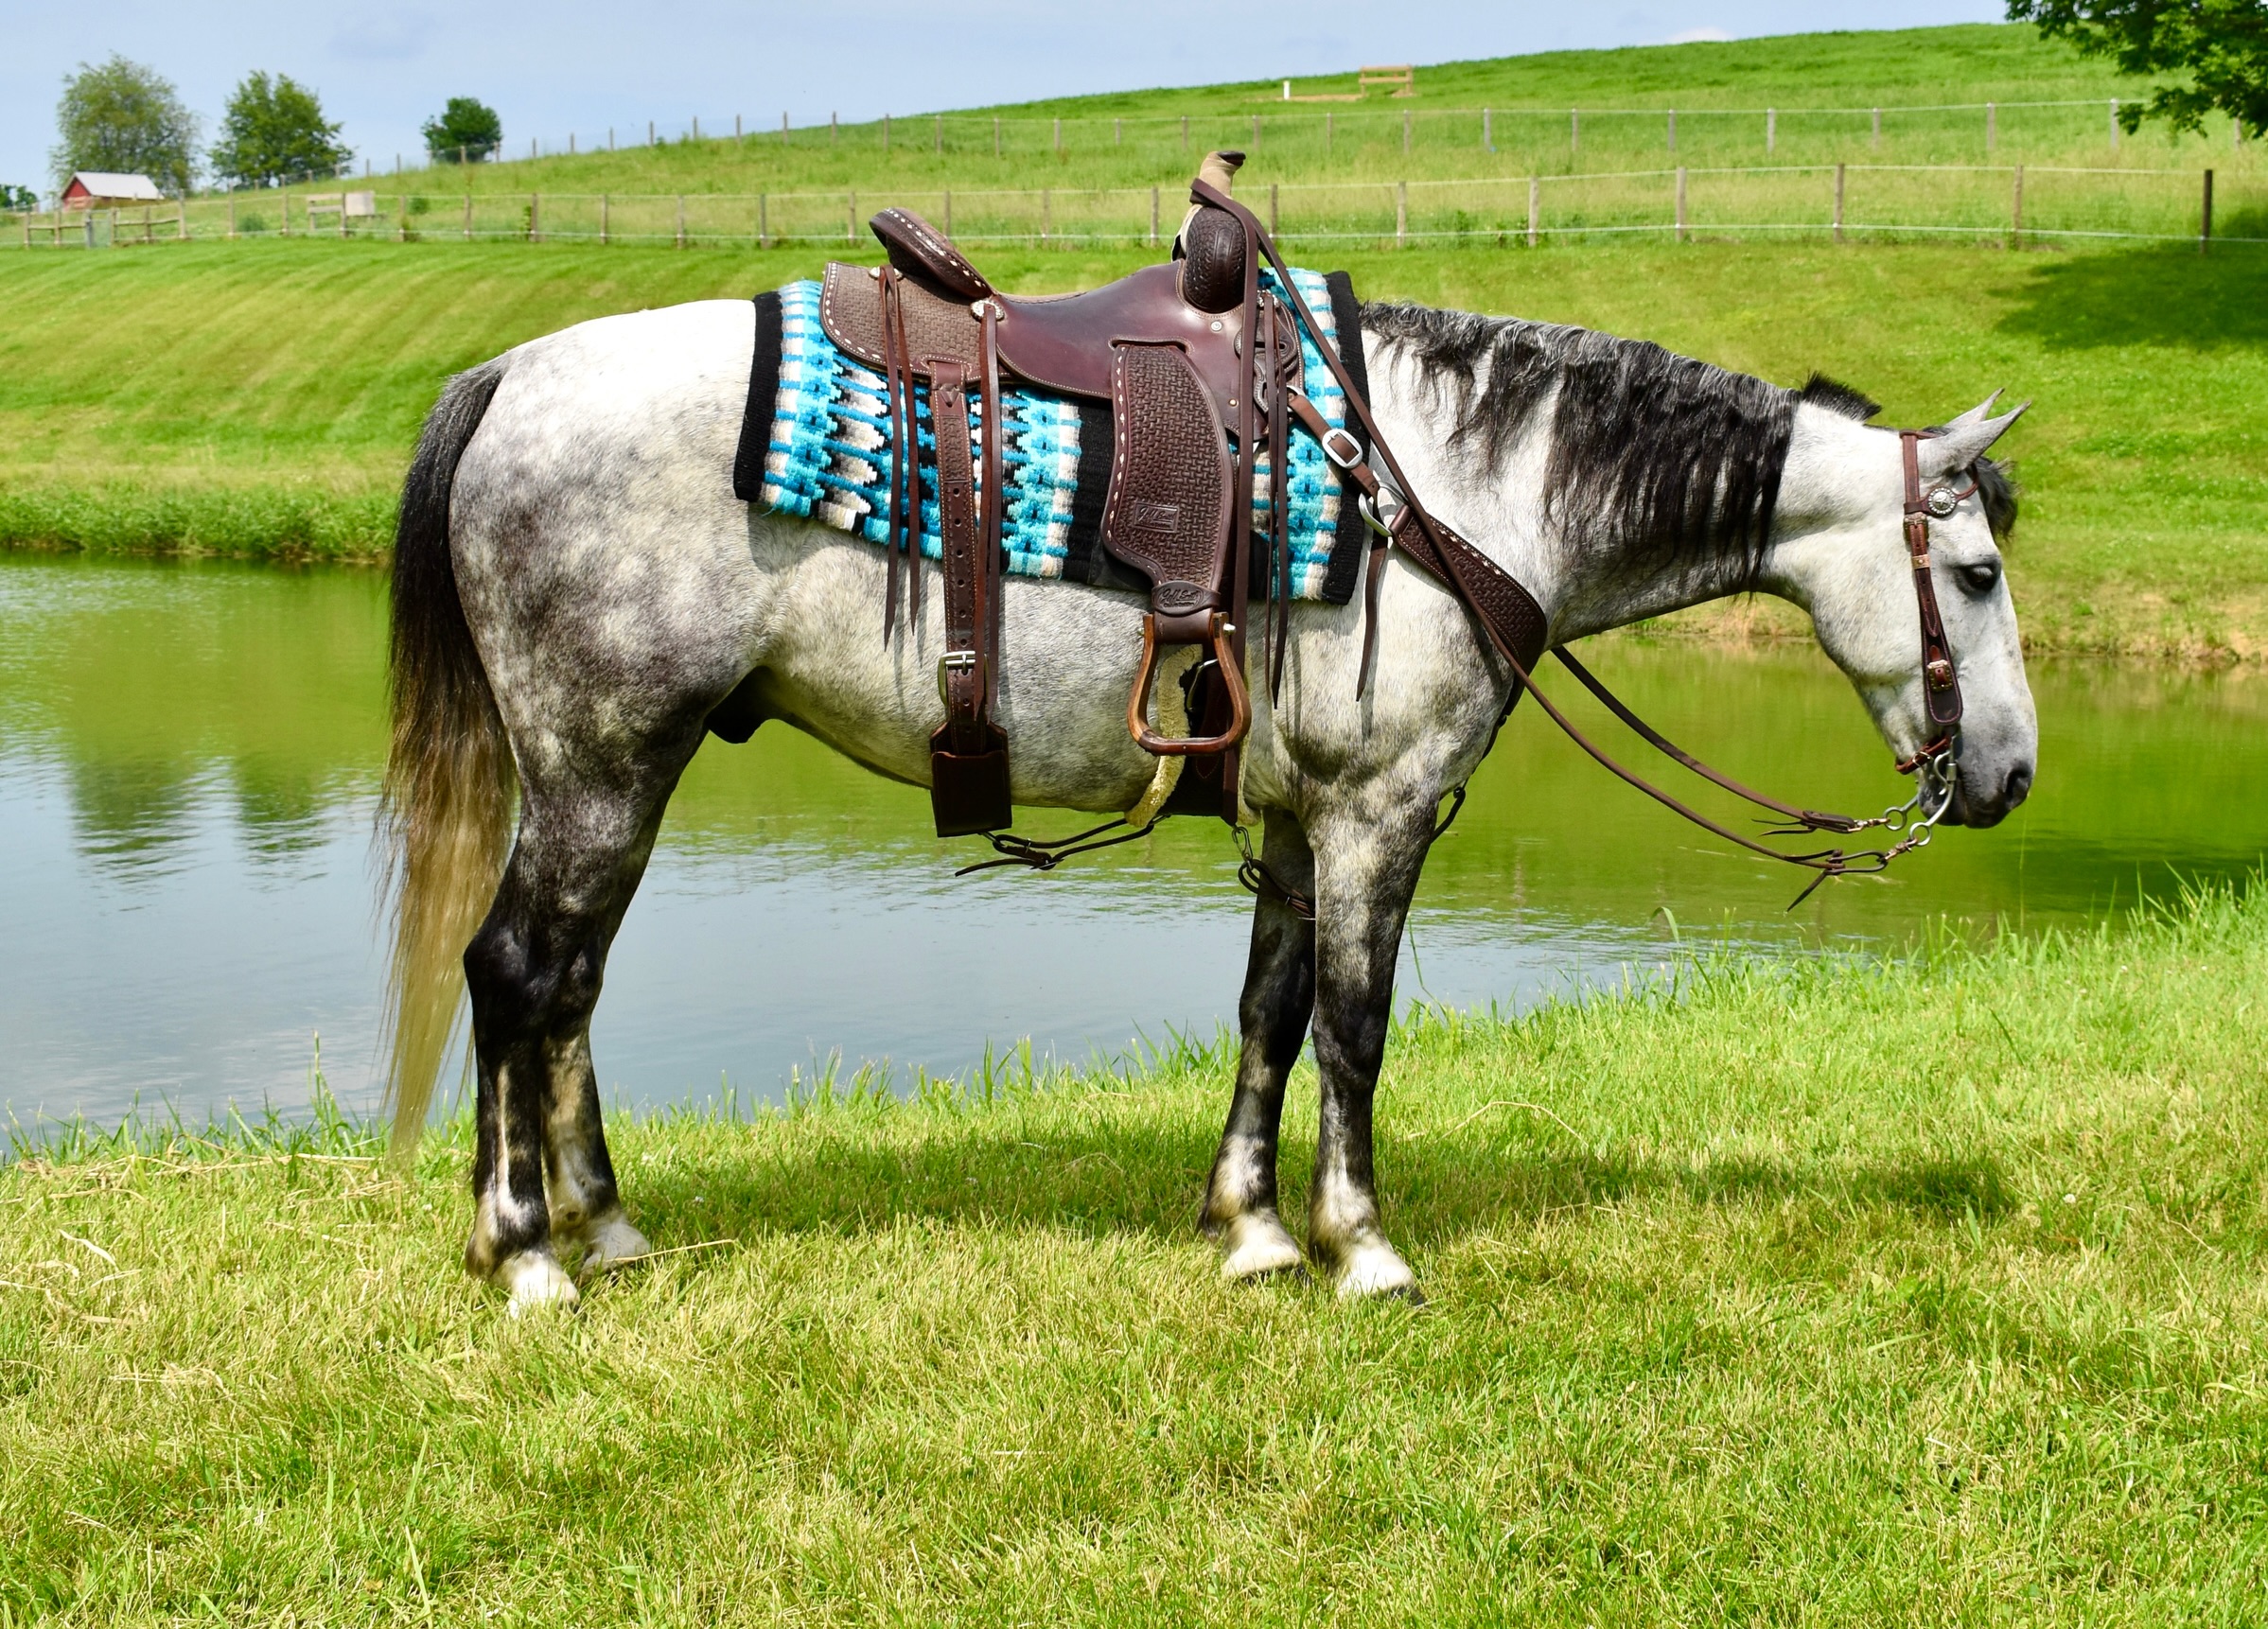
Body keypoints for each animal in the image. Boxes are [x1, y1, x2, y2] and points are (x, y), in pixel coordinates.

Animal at [379, 290, 2034, 1313]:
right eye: (1973, 573)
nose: (2011, 775)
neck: (1444, 495)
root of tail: (510, 376)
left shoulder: (1300, 825)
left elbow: (1272, 1014)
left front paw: (1250, 1228)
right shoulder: (1380, 813)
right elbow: (1358, 1028)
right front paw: (1361, 1245)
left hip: (617, 768)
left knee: (568, 986)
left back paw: (604, 1224)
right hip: (604, 760)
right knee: (518, 972)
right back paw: (524, 1252)